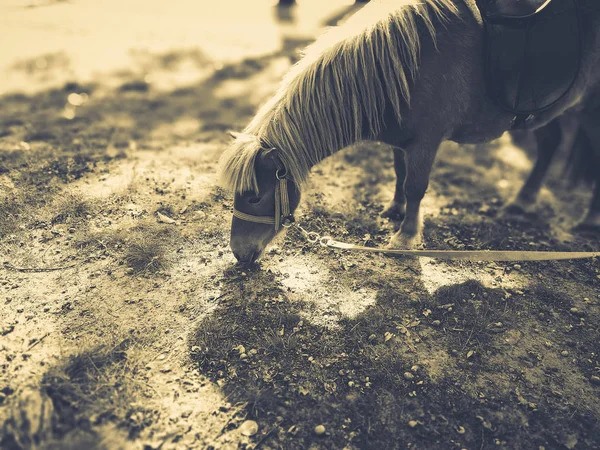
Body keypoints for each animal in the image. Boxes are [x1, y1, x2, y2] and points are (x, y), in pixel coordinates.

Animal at [219, 0, 600, 264]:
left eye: (254, 196)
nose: (239, 254)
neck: (408, 63)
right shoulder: (402, 142)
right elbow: (399, 174)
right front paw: (395, 211)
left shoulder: (426, 143)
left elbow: (416, 185)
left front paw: (405, 238)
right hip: (544, 111)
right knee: (550, 145)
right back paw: (522, 202)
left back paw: (589, 220)